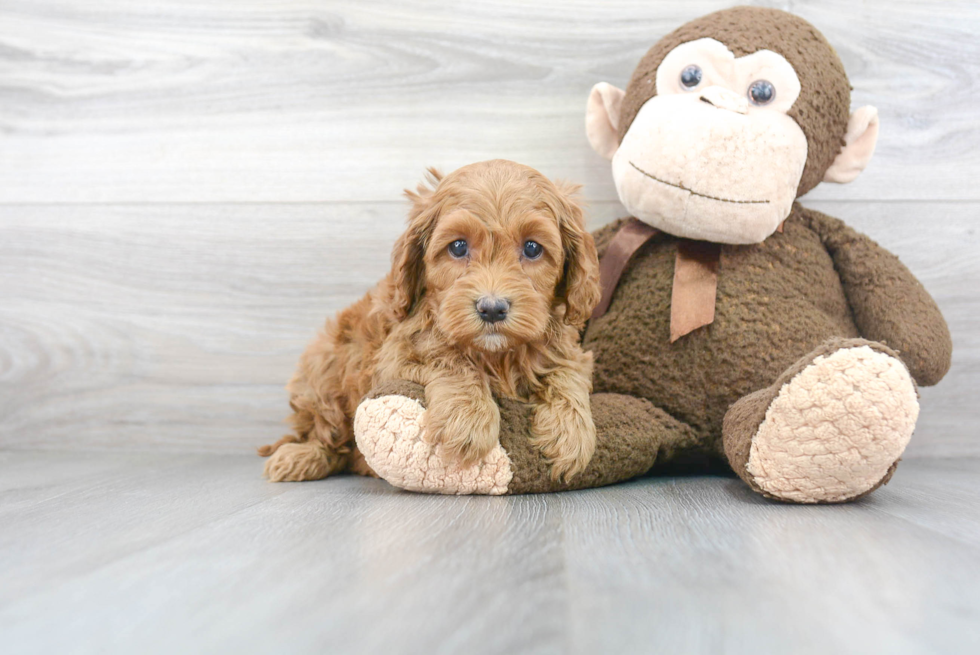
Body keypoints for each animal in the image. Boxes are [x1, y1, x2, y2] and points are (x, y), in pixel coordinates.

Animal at [256, 161, 600, 484]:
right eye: (458, 247)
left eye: (532, 248)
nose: (491, 309)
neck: (495, 355)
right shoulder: (393, 355)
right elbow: (448, 358)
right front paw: (468, 420)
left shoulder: (568, 349)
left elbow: (567, 373)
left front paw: (570, 433)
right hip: (324, 367)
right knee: (324, 433)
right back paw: (300, 457)